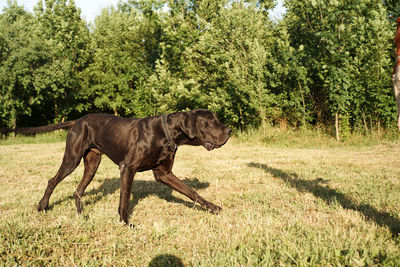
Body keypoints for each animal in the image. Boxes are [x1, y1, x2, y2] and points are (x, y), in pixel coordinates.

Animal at [23, 110, 231, 225]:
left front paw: (212, 207)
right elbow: (125, 198)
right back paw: (43, 206)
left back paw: (82, 215)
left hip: (92, 165)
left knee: (78, 191)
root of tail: (79, 120)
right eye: (210, 121)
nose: (229, 130)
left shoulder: (164, 174)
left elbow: (191, 192)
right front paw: (125, 222)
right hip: (71, 160)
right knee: (52, 181)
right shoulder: (127, 168)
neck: (166, 133)